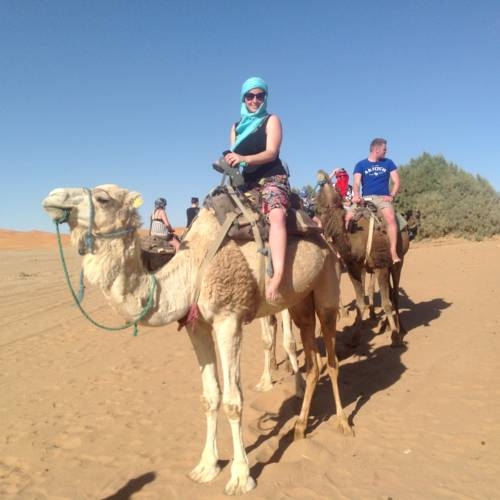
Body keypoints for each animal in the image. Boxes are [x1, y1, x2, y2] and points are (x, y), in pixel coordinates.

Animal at [42, 185, 352, 496]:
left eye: (103, 198)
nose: (52, 197)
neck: (191, 269)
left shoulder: (228, 319)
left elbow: (233, 400)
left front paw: (240, 477)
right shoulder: (196, 325)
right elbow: (210, 396)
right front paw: (206, 467)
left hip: (326, 285)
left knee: (331, 355)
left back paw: (342, 423)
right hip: (301, 300)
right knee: (312, 358)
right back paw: (299, 426)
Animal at [316, 173, 410, 348]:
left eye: (337, 195)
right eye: (319, 202)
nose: (321, 175)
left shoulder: (381, 266)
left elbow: (386, 302)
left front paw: (395, 338)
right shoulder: (354, 269)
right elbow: (360, 304)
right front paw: (355, 337)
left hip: (398, 262)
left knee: (394, 294)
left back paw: (401, 328)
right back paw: (386, 325)